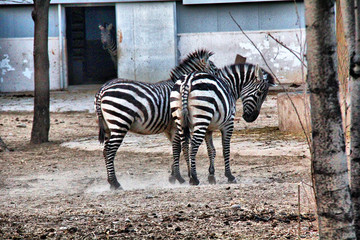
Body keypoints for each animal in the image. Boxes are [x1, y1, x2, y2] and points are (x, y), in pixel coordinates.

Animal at [94, 48, 218, 189]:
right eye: (214, 69)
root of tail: (102, 90)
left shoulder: (169, 129)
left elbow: (176, 149)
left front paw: (173, 176)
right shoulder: (176, 126)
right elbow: (177, 149)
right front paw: (179, 177)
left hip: (108, 127)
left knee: (105, 151)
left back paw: (110, 182)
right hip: (119, 123)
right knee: (110, 151)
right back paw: (115, 183)